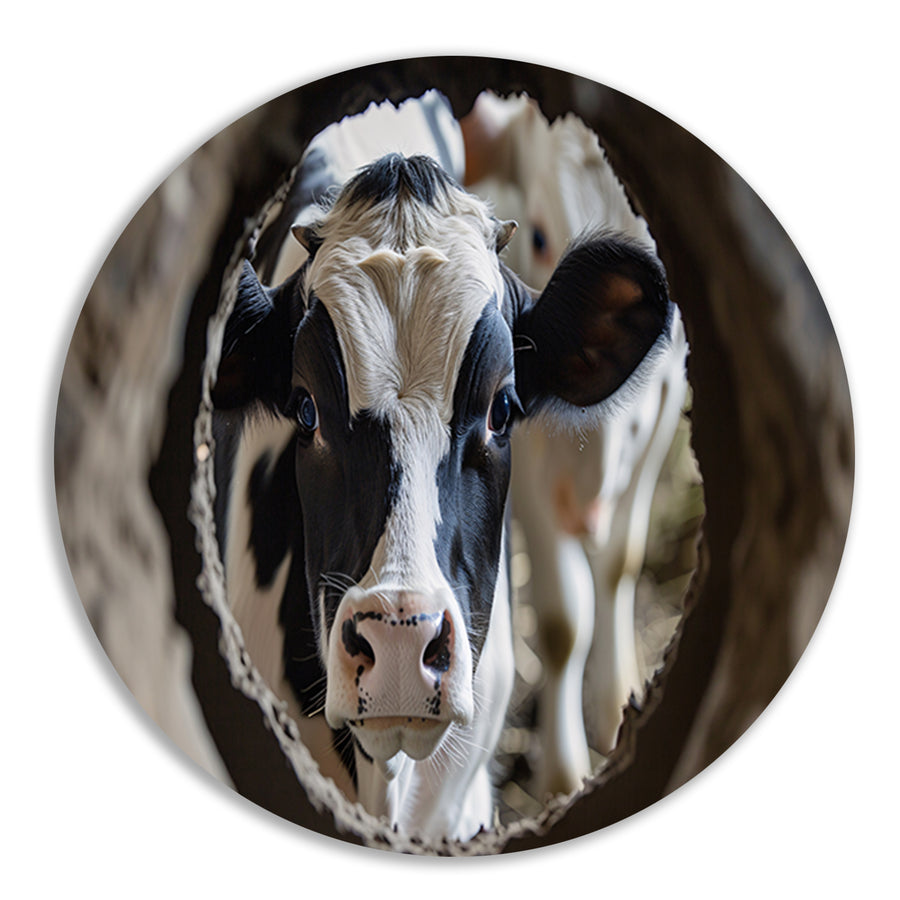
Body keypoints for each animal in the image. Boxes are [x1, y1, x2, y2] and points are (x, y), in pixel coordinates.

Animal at [461, 92, 689, 795]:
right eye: (537, 236)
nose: (583, 504)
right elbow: (565, 622)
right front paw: (564, 775)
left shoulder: (667, 399)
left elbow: (622, 563)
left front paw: (615, 706)